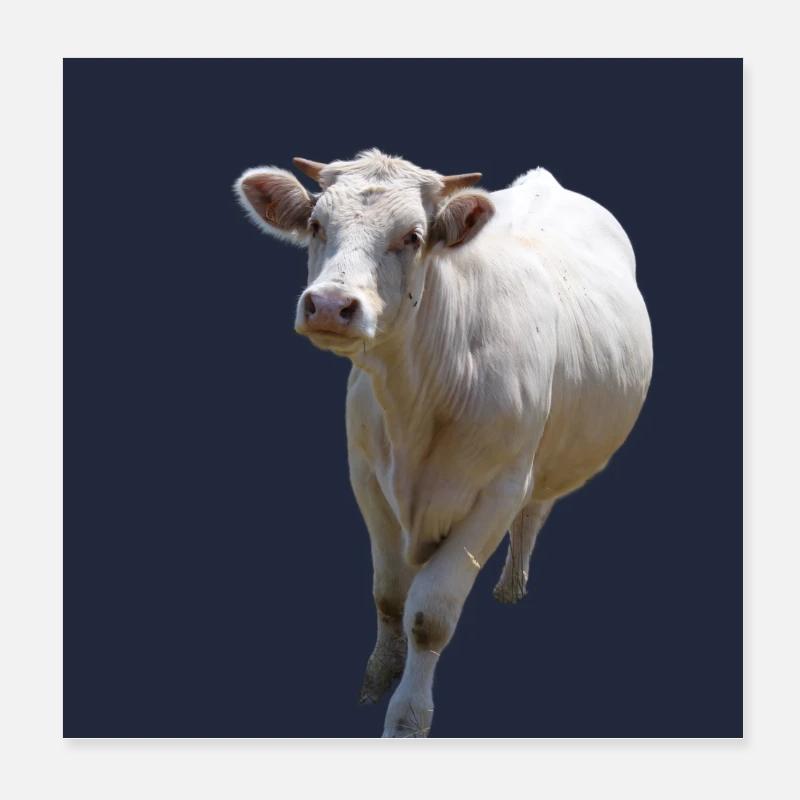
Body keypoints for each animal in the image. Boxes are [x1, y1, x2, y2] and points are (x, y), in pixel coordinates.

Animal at [234, 149, 653, 737]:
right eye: (316, 225)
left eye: (412, 236)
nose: (330, 305)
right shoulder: (366, 476)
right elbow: (390, 596)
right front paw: (375, 680)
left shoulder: (498, 491)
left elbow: (429, 616)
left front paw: (407, 719)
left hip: (549, 454)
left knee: (535, 511)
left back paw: (512, 585)